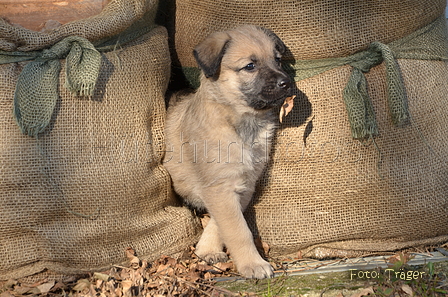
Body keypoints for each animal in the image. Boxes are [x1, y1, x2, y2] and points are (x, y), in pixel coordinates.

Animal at [163, 25, 292, 278]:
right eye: (250, 66)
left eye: (278, 60)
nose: (287, 82)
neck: (241, 124)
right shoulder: (220, 187)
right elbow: (238, 230)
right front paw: (253, 263)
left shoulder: (243, 185)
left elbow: (220, 223)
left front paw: (208, 249)